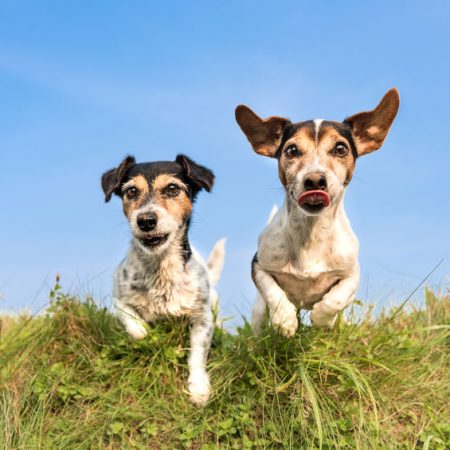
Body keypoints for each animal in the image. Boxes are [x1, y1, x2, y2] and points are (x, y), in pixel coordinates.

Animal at [103, 155, 227, 404]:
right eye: (131, 191)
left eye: (172, 188)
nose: (145, 220)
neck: (161, 269)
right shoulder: (118, 298)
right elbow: (132, 321)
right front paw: (143, 331)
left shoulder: (202, 318)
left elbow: (197, 355)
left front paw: (198, 388)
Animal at [234, 88, 400, 336]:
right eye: (291, 150)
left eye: (340, 148)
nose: (314, 180)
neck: (311, 233)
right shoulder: (259, 266)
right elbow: (273, 292)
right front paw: (284, 320)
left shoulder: (351, 274)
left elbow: (335, 299)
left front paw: (322, 319)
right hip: (258, 310)